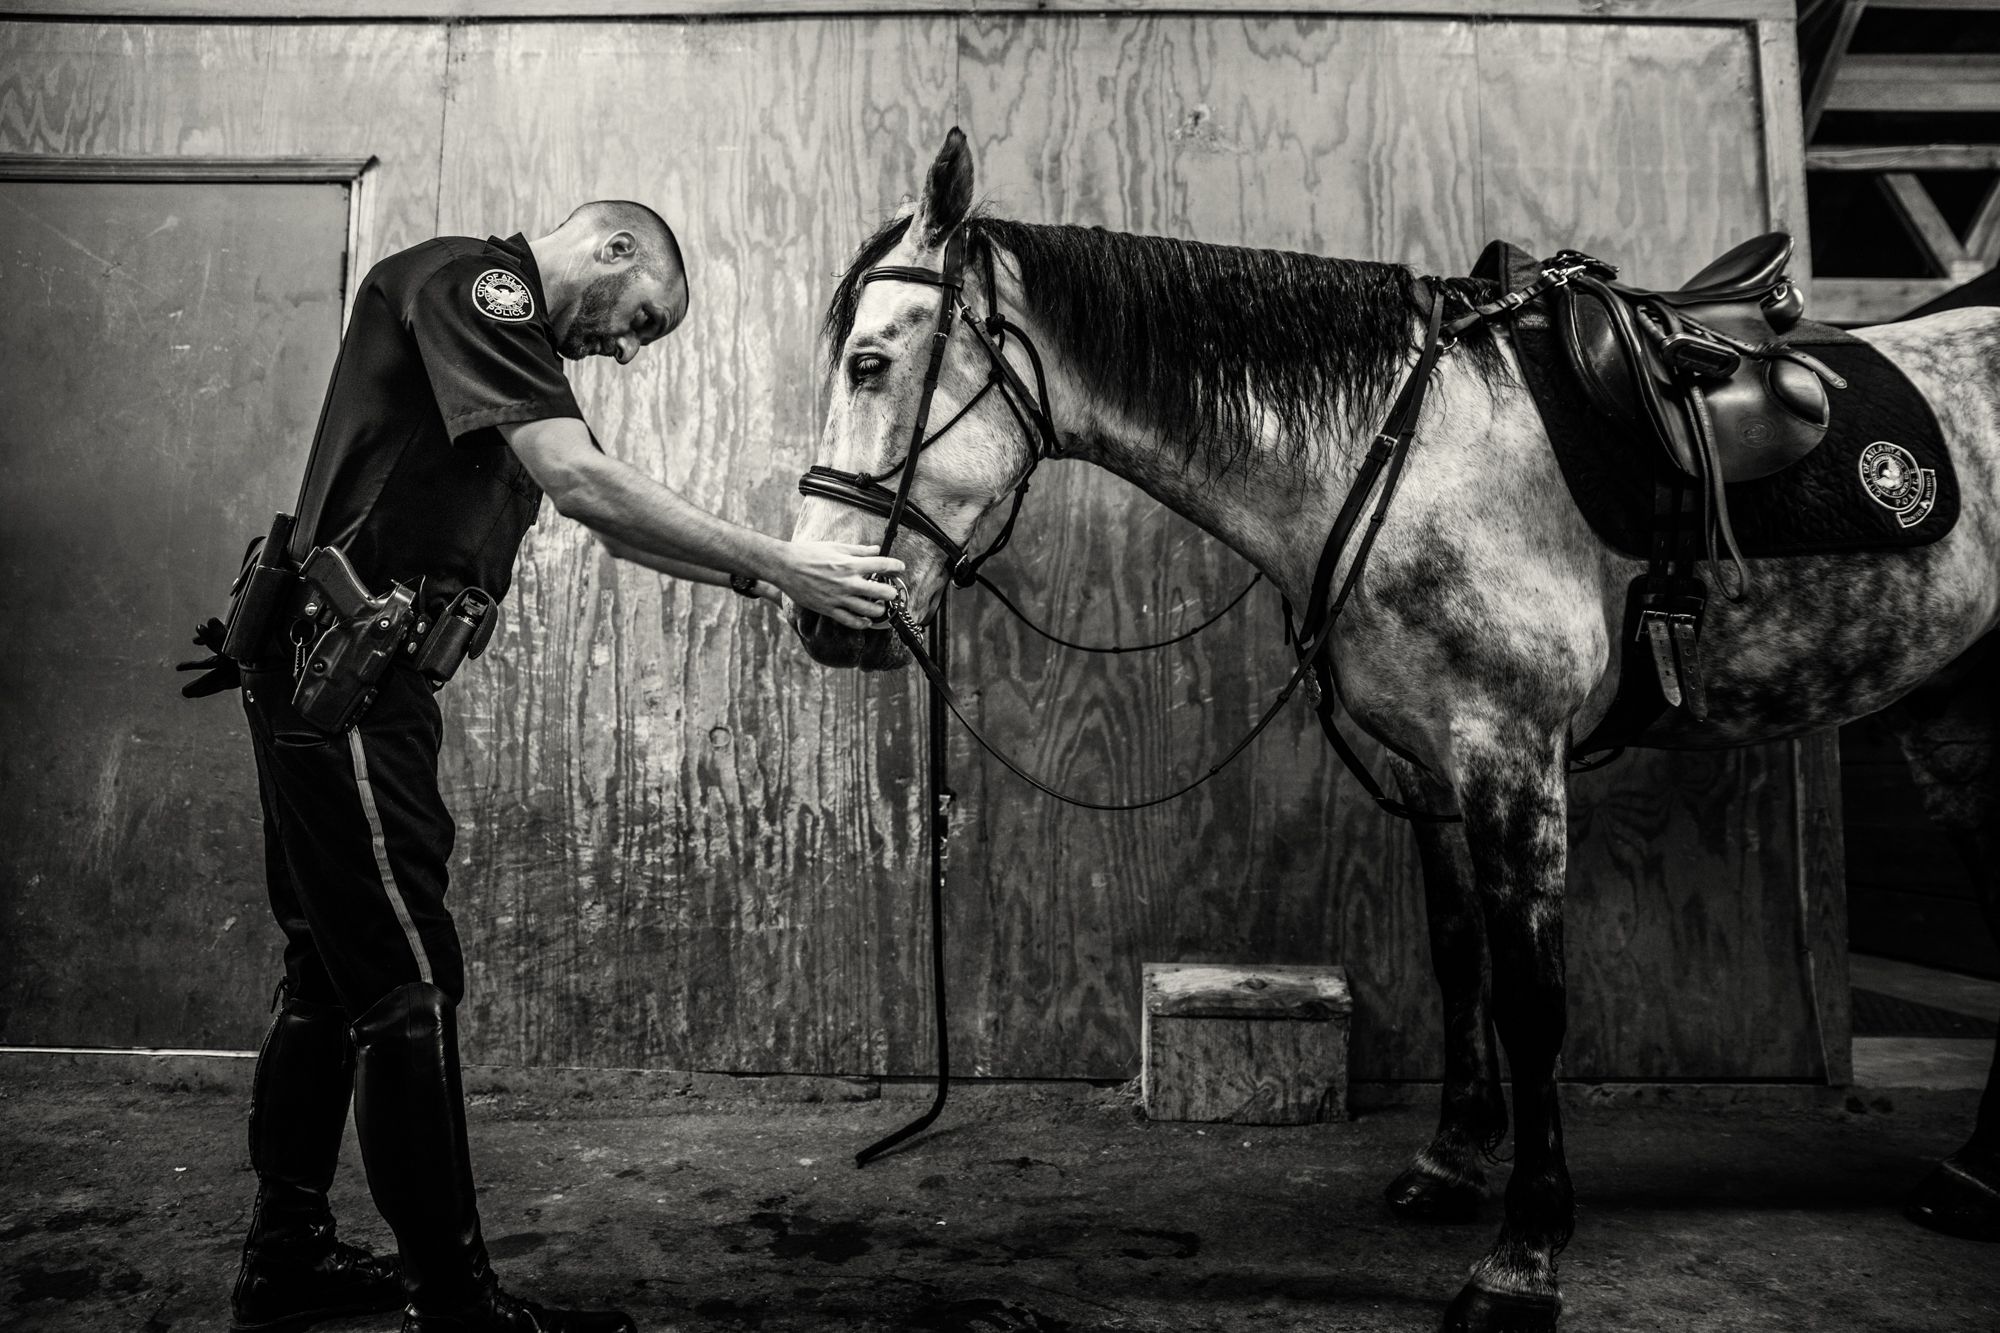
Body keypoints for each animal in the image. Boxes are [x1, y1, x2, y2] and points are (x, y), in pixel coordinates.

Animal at [785, 128, 2000, 1332]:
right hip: (1953, 727)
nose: (819, 612)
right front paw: (1452, 1160)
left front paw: (1523, 1253)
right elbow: (1458, 958)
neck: (1403, 454)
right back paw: (1968, 1178)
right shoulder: (1428, 767)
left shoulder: (1512, 757)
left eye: (869, 364)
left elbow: (1531, 998)